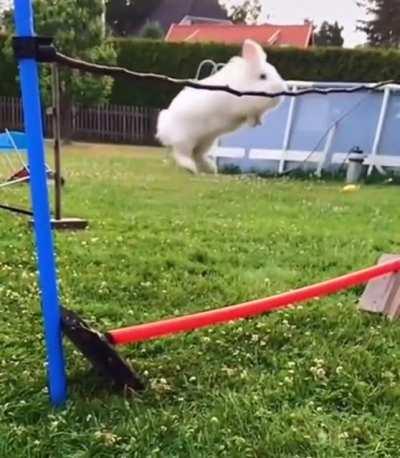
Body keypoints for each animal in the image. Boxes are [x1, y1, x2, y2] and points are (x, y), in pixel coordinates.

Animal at [156, 38, 288, 174]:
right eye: (263, 76)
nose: (282, 89)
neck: (245, 84)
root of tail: (164, 129)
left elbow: (258, 115)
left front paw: (259, 122)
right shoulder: (243, 107)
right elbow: (250, 115)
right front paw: (253, 123)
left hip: (207, 140)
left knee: (198, 155)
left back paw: (210, 168)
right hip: (185, 140)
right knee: (182, 154)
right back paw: (190, 168)